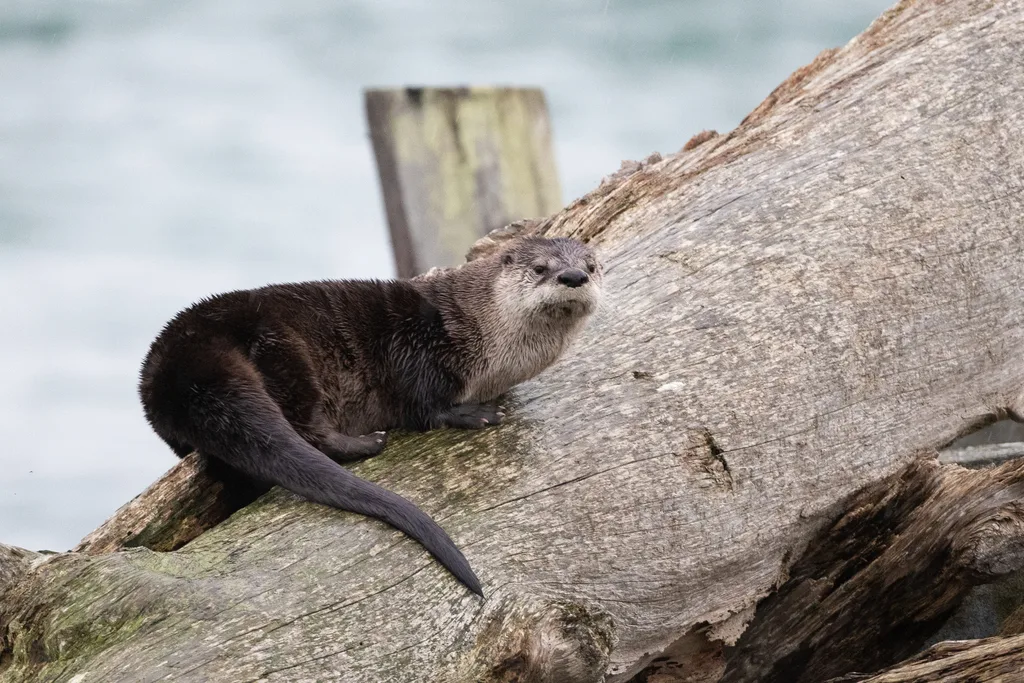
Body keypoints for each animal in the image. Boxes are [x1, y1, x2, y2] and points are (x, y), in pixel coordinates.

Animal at [138, 236, 602, 596]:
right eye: (540, 268)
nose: (573, 277)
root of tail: (176, 363)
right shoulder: (418, 341)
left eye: (592, 266)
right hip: (280, 347)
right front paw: (471, 414)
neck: (484, 341)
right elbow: (424, 403)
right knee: (308, 427)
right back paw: (367, 442)